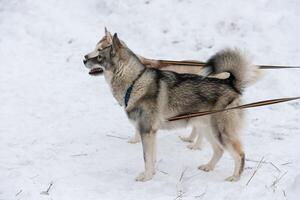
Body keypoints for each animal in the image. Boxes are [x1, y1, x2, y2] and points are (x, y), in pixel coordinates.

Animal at [84, 33, 260, 182]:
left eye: (99, 55)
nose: (84, 59)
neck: (134, 82)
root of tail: (230, 83)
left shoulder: (146, 131)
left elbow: (146, 157)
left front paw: (146, 177)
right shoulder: (151, 133)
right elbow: (152, 157)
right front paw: (152, 174)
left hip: (220, 132)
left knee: (239, 154)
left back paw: (235, 177)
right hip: (207, 129)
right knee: (219, 150)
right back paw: (208, 167)